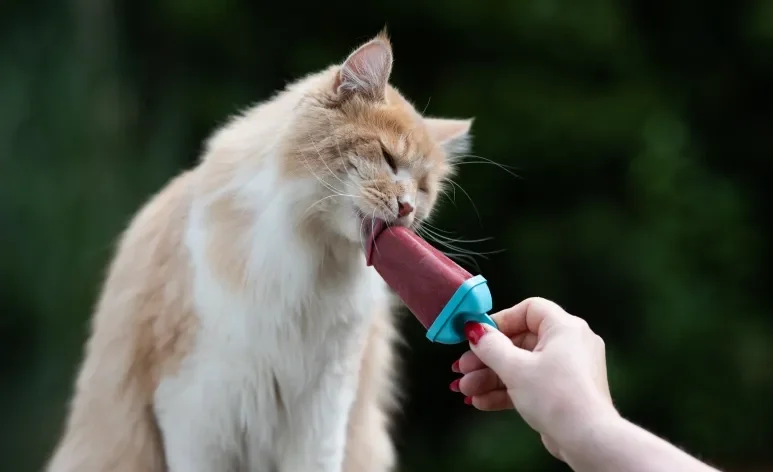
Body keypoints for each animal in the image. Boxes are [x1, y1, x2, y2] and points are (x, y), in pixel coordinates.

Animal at [46, 32, 476, 472]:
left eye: (423, 188)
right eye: (388, 159)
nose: (406, 208)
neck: (311, 258)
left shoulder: (324, 408)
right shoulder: (195, 409)